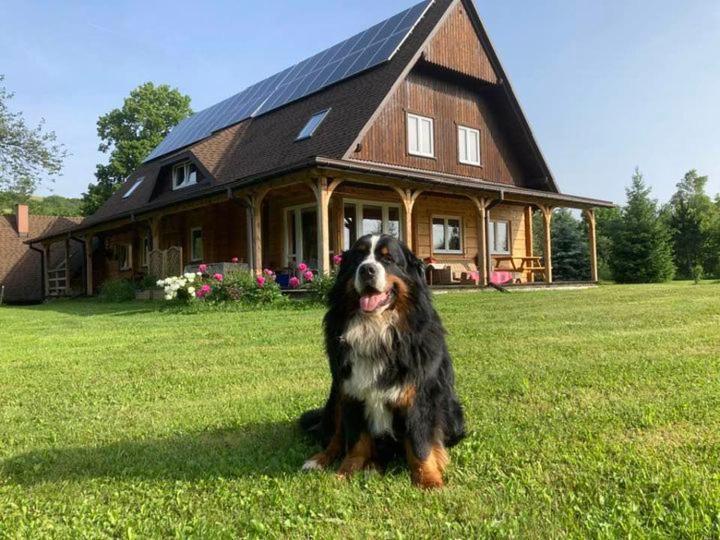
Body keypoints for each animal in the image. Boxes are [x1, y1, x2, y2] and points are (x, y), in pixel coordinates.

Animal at [300, 234, 464, 488]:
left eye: (388, 259)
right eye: (358, 256)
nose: (366, 269)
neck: (376, 329)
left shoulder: (418, 397)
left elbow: (421, 445)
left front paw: (429, 480)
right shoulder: (351, 393)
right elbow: (356, 443)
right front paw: (345, 473)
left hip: (453, 414)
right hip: (335, 398)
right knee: (335, 437)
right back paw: (321, 461)